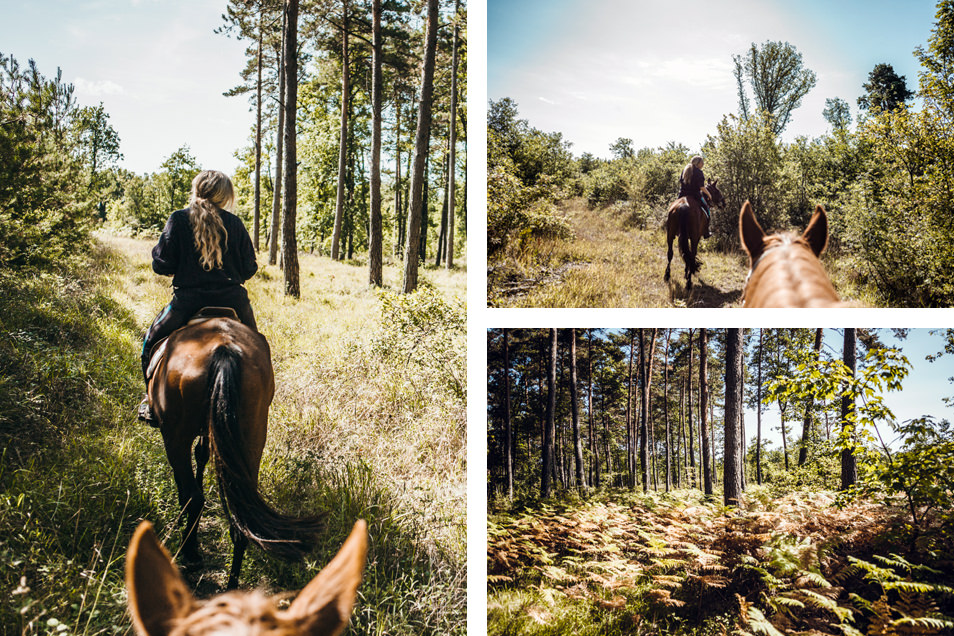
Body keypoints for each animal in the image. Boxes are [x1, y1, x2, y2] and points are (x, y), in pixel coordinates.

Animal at [146, 316, 324, 588]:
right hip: (251, 436)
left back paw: (190, 553)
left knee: (193, 497)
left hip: (176, 435)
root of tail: (224, 350)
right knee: (242, 514)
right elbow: (202, 454)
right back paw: (231, 586)